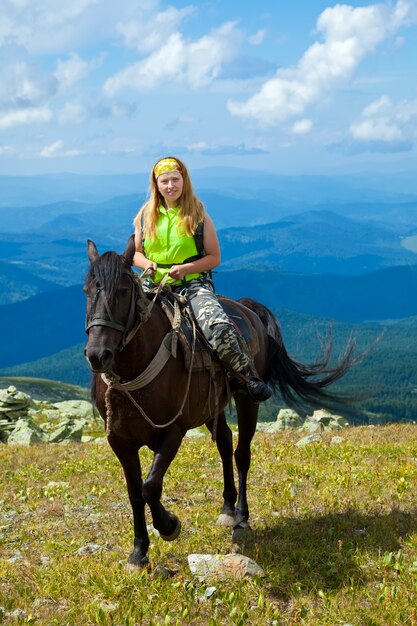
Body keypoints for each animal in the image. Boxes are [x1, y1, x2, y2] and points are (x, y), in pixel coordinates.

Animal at [85, 235, 358, 564]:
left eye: (123, 291)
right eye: (87, 291)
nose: (98, 355)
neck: (134, 374)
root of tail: (246, 307)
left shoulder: (173, 432)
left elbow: (150, 487)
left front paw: (169, 526)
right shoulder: (119, 441)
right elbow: (135, 492)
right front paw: (139, 552)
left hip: (247, 398)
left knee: (242, 453)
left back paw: (240, 517)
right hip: (212, 406)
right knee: (225, 441)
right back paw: (227, 509)